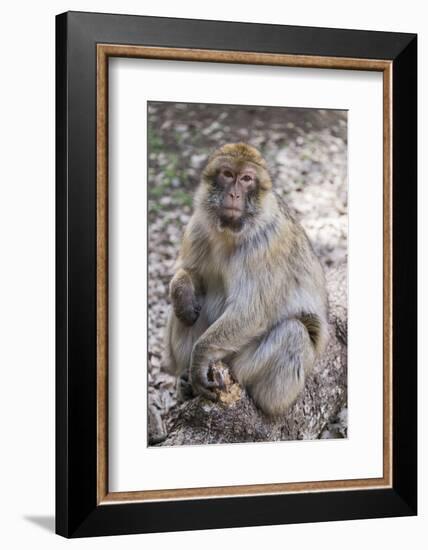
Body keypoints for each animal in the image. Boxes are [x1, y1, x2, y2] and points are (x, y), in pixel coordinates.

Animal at [163, 143, 328, 418]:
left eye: (247, 179)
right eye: (228, 174)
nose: (234, 194)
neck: (230, 233)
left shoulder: (266, 246)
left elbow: (252, 311)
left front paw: (200, 358)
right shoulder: (198, 226)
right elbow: (192, 275)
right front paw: (181, 289)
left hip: (247, 367)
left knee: (294, 332)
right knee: (185, 313)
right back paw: (185, 381)